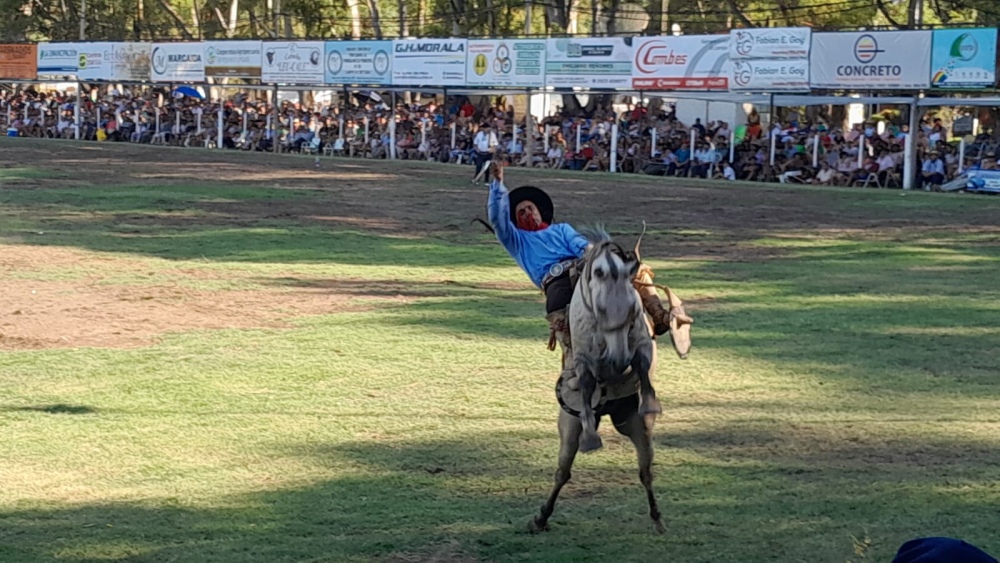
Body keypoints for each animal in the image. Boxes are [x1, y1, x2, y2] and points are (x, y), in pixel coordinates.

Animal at [532, 227, 664, 536]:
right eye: (601, 310)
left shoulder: (641, 346)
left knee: (643, 471)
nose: (618, 358)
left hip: (630, 427)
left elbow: (641, 363)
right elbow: (588, 377)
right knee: (565, 471)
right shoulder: (586, 359)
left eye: (632, 312)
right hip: (576, 427)